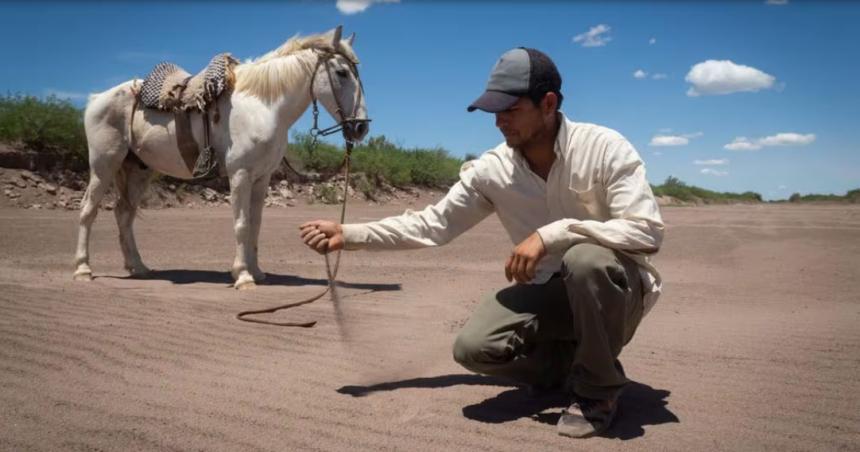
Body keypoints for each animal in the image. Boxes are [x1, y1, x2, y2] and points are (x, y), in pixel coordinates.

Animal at [75, 26, 368, 288]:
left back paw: (138, 267)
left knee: (124, 214)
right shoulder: (240, 175)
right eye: (341, 73)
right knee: (88, 210)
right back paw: (83, 269)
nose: (361, 127)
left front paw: (256, 271)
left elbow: (255, 224)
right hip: (104, 164)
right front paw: (243, 276)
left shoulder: (261, 178)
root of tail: (96, 99)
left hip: (138, 170)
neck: (262, 106)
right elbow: (241, 224)